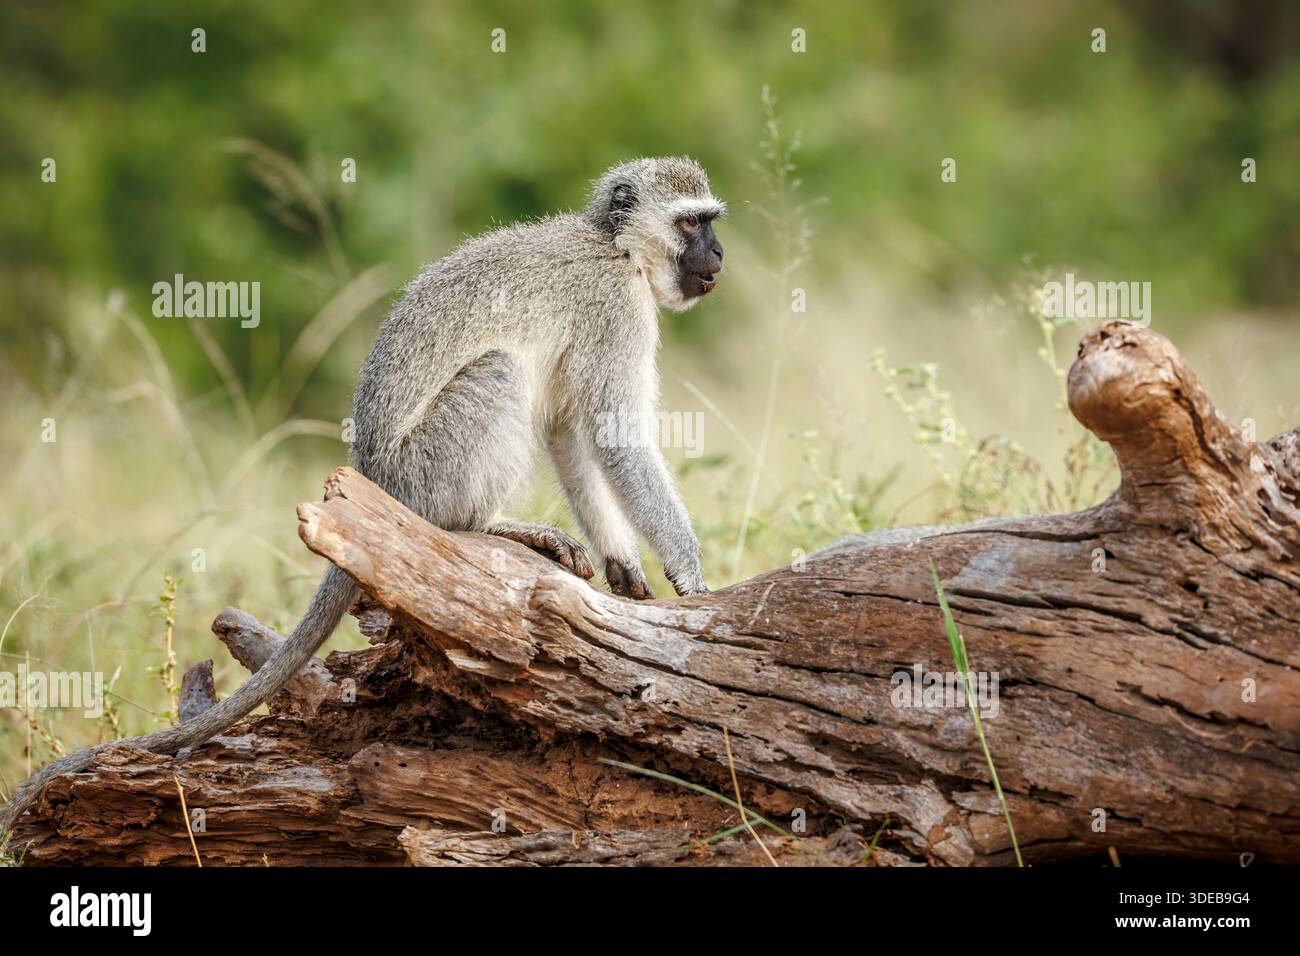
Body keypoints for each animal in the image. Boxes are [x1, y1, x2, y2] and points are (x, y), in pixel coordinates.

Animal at [0, 156, 726, 834]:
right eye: (693, 223)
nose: (719, 254)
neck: (616, 246)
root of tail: (372, 475)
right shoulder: (615, 309)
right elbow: (614, 436)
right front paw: (691, 576)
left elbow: (570, 431)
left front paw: (624, 564)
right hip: (426, 473)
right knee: (496, 379)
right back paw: (490, 524)